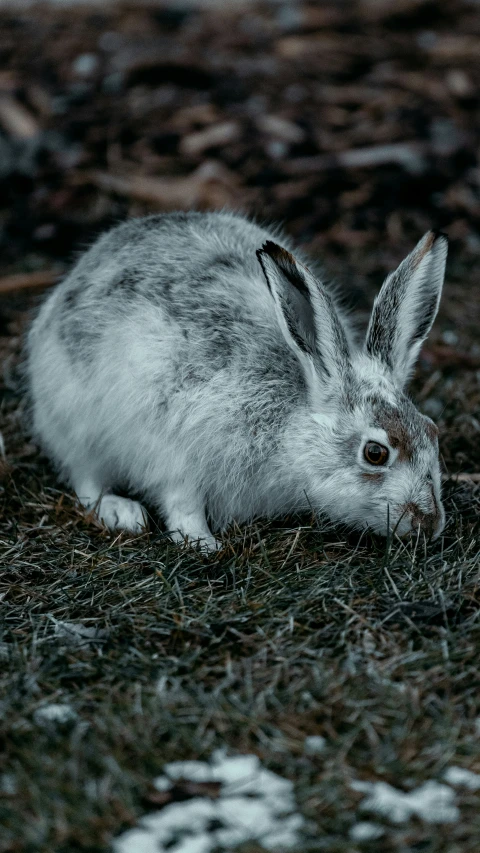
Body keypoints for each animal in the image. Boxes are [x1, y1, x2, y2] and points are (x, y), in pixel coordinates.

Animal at [25, 209, 446, 548]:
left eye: (432, 430)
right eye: (375, 453)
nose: (429, 523)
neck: (291, 421)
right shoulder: (177, 454)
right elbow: (182, 503)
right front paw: (202, 543)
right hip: (75, 420)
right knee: (86, 480)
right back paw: (121, 512)